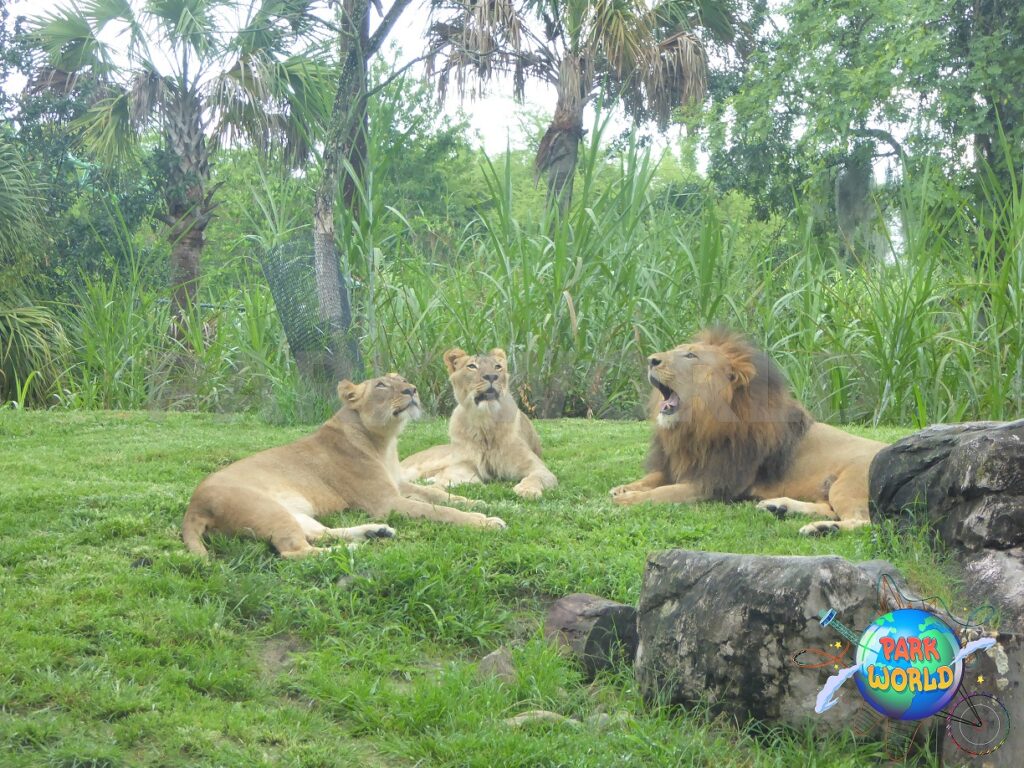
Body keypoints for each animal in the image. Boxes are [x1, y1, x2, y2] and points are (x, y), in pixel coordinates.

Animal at [185, 374, 507, 561]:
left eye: (402, 379)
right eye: (381, 385)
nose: (412, 390)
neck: (385, 441)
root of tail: (193, 506)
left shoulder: (398, 484)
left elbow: (438, 495)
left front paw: (480, 502)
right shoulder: (386, 501)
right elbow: (439, 511)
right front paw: (485, 521)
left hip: (292, 512)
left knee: (319, 533)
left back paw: (375, 533)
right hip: (267, 510)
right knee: (294, 551)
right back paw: (356, 548)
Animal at [401, 348, 561, 499]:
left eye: (498, 367)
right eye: (472, 366)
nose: (491, 376)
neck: (484, 421)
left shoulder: (538, 467)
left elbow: (536, 477)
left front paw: (527, 490)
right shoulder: (463, 466)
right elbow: (452, 478)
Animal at [606, 329, 888, 536]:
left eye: (690, 355)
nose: (651, 360)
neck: (695, 426)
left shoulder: (714, 483)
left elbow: (663, 493)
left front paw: (626, 499)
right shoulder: (681, 464)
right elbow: (654, 478)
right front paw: (623, 488)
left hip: (847, 484)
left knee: (865, 522)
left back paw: (822, 529)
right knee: (830, 510)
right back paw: (780, 507)